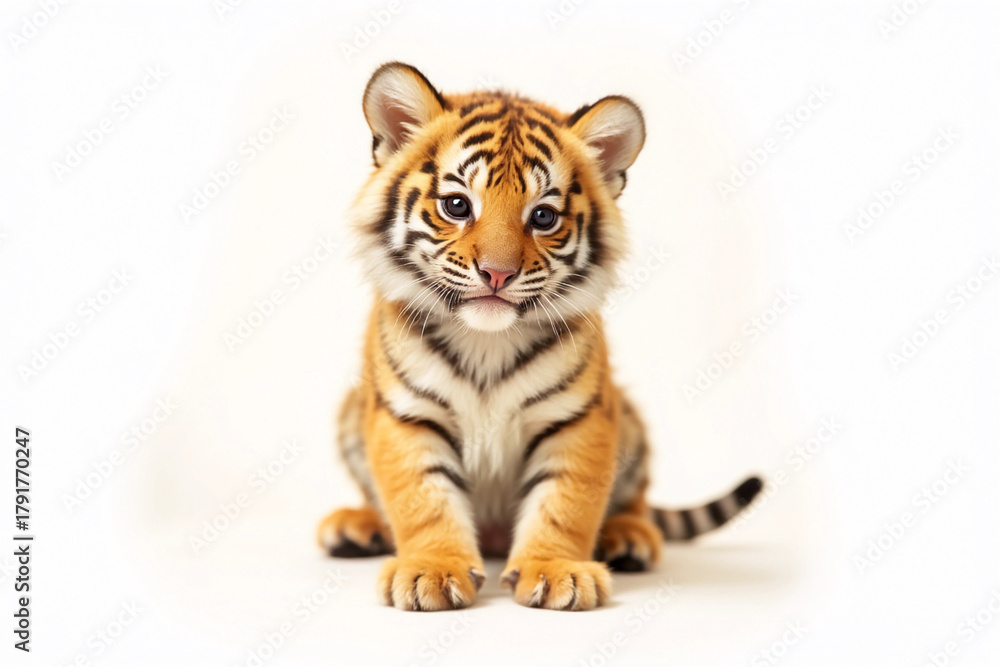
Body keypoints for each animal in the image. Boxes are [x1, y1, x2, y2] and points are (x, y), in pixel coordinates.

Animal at [317, 62, 763, 611]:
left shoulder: (578, 416)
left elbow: (565, 501)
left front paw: (556, 571)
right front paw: (432, 570)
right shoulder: (405, 414)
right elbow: (422, 498)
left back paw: (628, 537)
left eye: (543, 217)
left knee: (634, 499)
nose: (497, 273)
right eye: (458, 205)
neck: (485, 341)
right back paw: (355, 526)